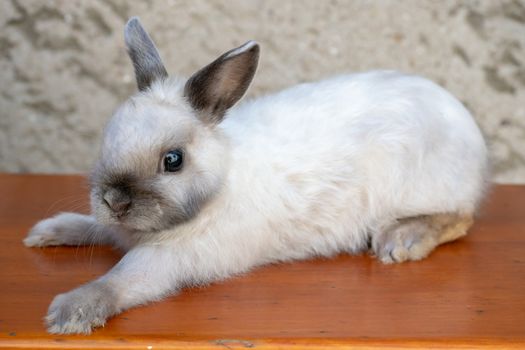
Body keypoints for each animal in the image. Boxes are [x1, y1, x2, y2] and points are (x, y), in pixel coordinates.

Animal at [24, 17, 488, 334]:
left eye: (173, 160)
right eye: (107, 137)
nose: (114, 201)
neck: (218, 185)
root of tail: (470, 130)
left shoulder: (168, 260)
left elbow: (122, 279)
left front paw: (70, 311)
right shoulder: (119, 230)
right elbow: (94, 228)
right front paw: (48, 231)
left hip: (425, 190)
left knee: (460, 218)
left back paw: (402, 239)